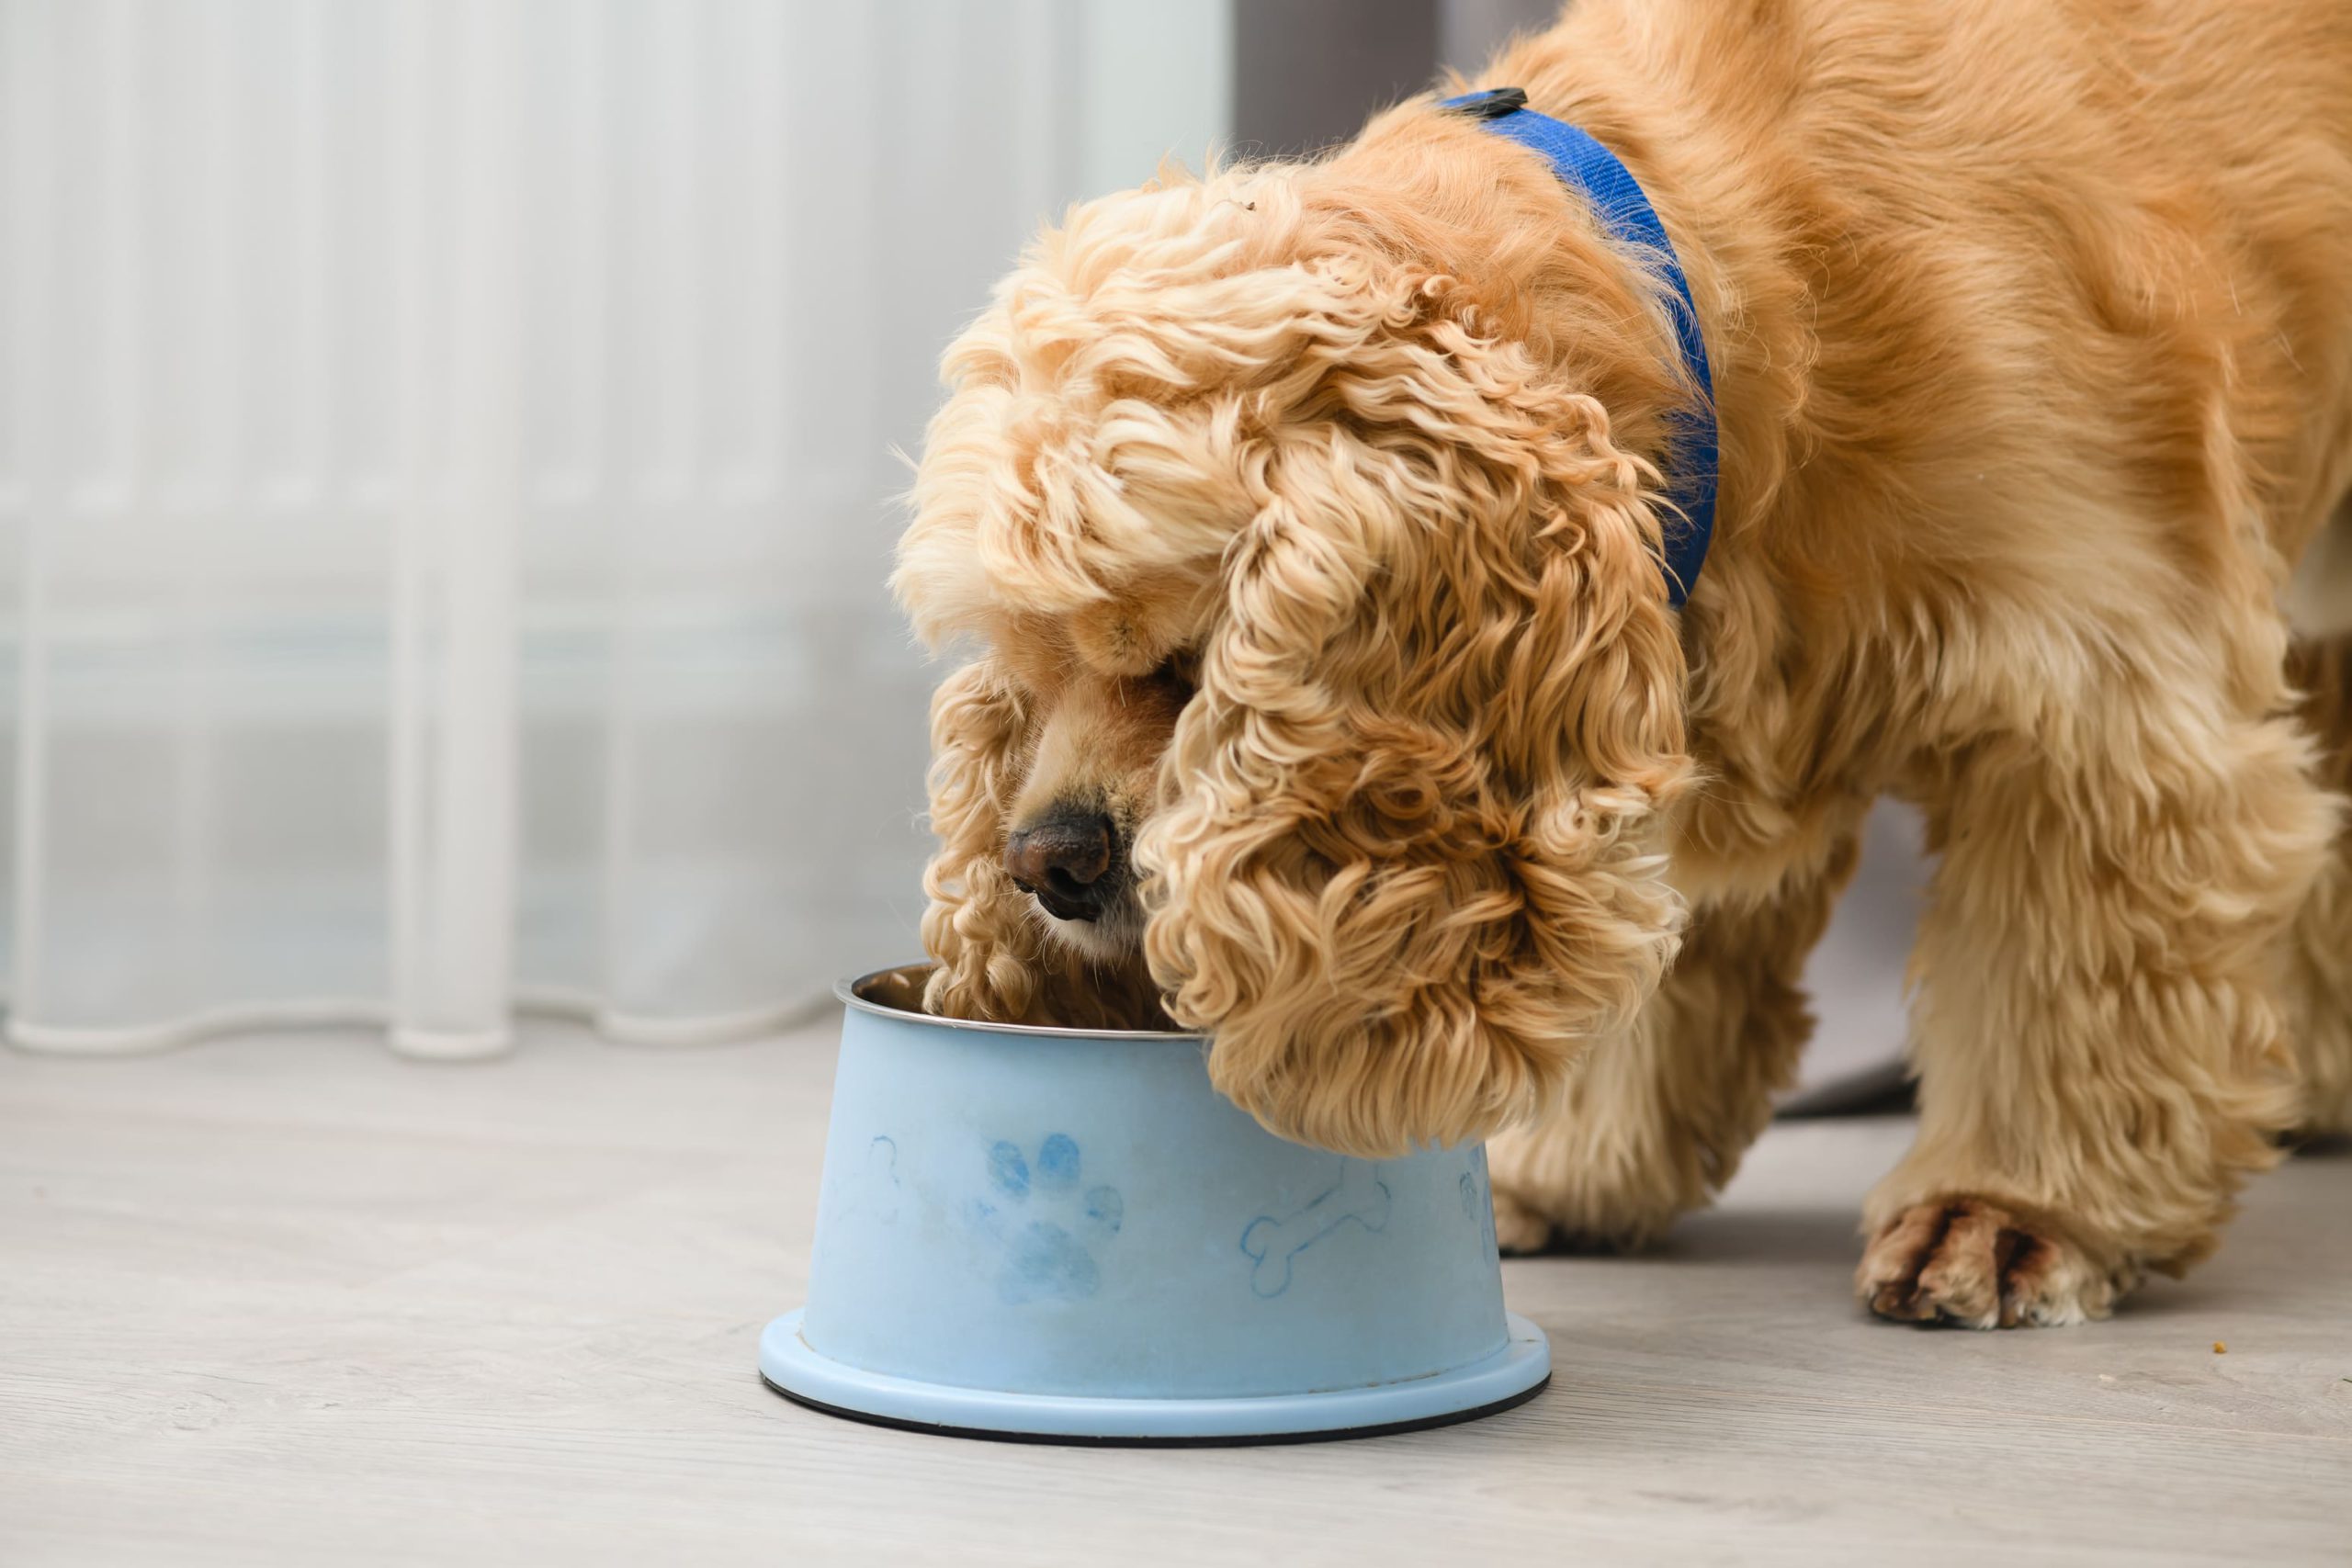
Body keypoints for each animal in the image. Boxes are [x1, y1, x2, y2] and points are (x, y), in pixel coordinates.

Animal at [884, 0, 2352, 1335]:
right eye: (1024, 666)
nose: (1046, 863)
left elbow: (2065, 969)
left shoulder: (2098, 691)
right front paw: (1571, 1169)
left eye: (1183, 661)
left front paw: (2008, 1208)